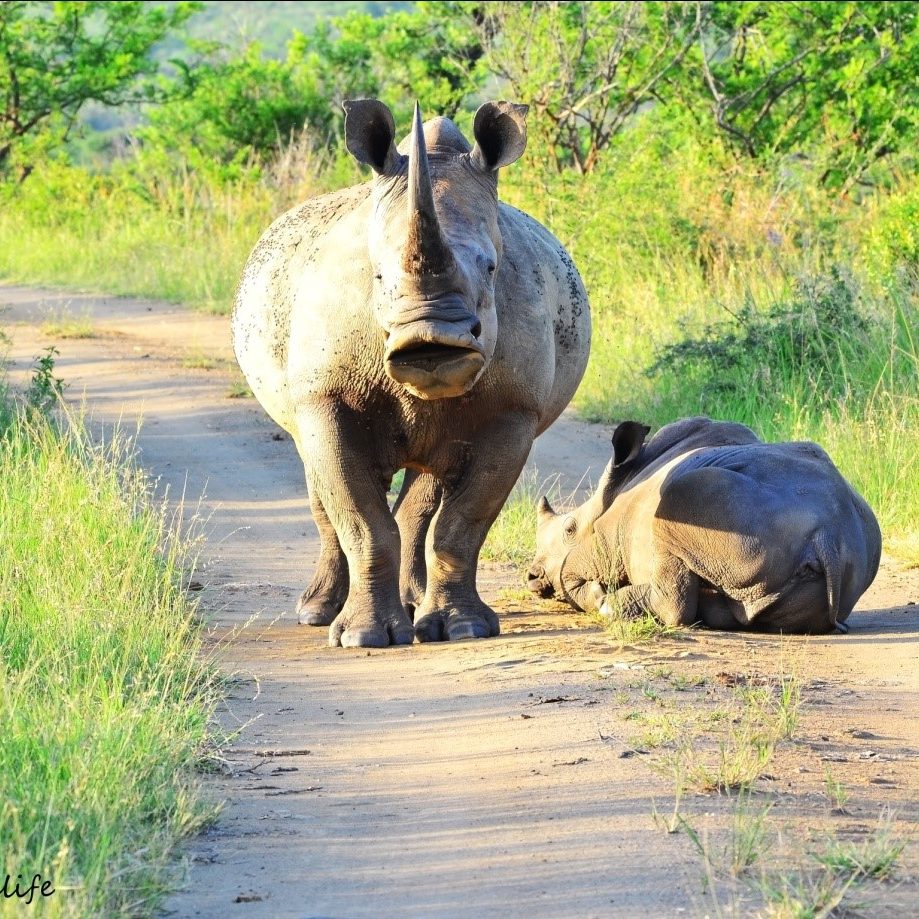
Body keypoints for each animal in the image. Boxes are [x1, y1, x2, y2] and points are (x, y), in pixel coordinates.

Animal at [230, 100, 588, 648]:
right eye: (377, 275)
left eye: (491, 269)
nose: (430, 341)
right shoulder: (324, 397)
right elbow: (361, 520)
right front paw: (362, 638)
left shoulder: (513, 409)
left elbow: (463, 522)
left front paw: (465, 629)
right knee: (320, 480)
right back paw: (317, 612)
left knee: (426, 486)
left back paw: (417, 605)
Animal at [532, 416, 884, 632]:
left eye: (569, 528)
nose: (532, 576)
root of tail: (829, 535)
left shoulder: (605, 536)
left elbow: (570, 571)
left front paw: (595, 596)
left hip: (726, 511)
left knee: (676, 502)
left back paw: (611, 607)